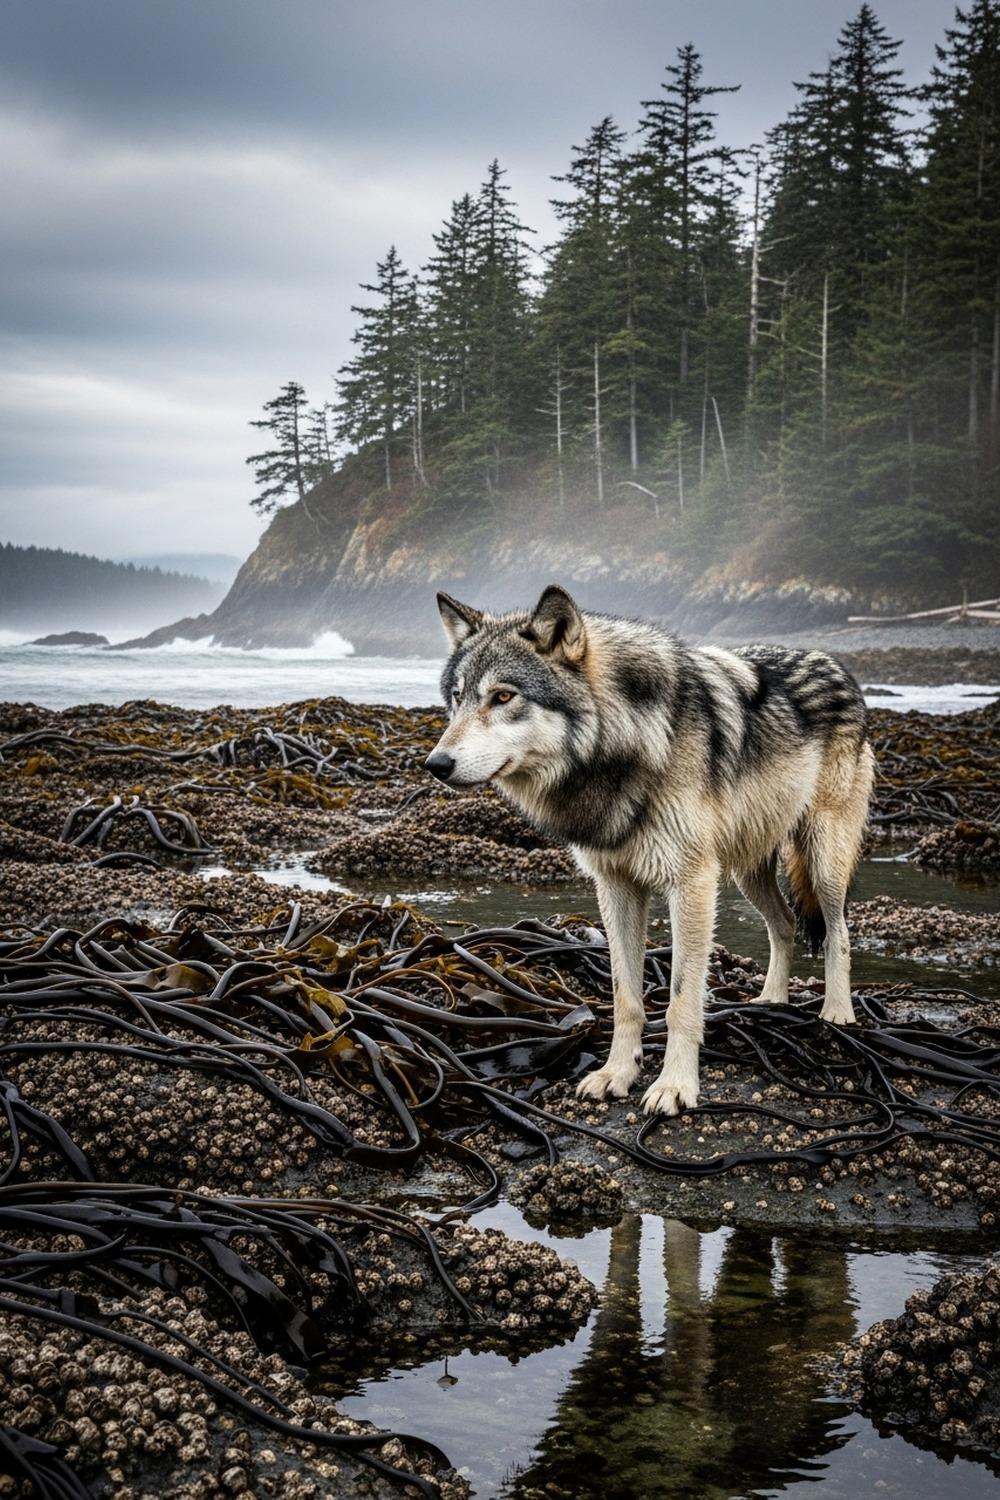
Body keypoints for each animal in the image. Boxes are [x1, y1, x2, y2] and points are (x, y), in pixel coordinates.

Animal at [426, 585, 875, 1116]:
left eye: (502, 697)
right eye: (457, 699)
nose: (436, 763)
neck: (626, 744)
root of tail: (834, 662)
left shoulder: (692, 885)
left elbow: (681, 999)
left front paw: (675, 1086)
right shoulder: (616, 887)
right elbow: (626, 997)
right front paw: (616, 1073)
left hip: (822, 857)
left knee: (837, 931)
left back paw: (836, 1013)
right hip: (746, 872)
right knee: (784, 925)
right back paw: (771, 1001)